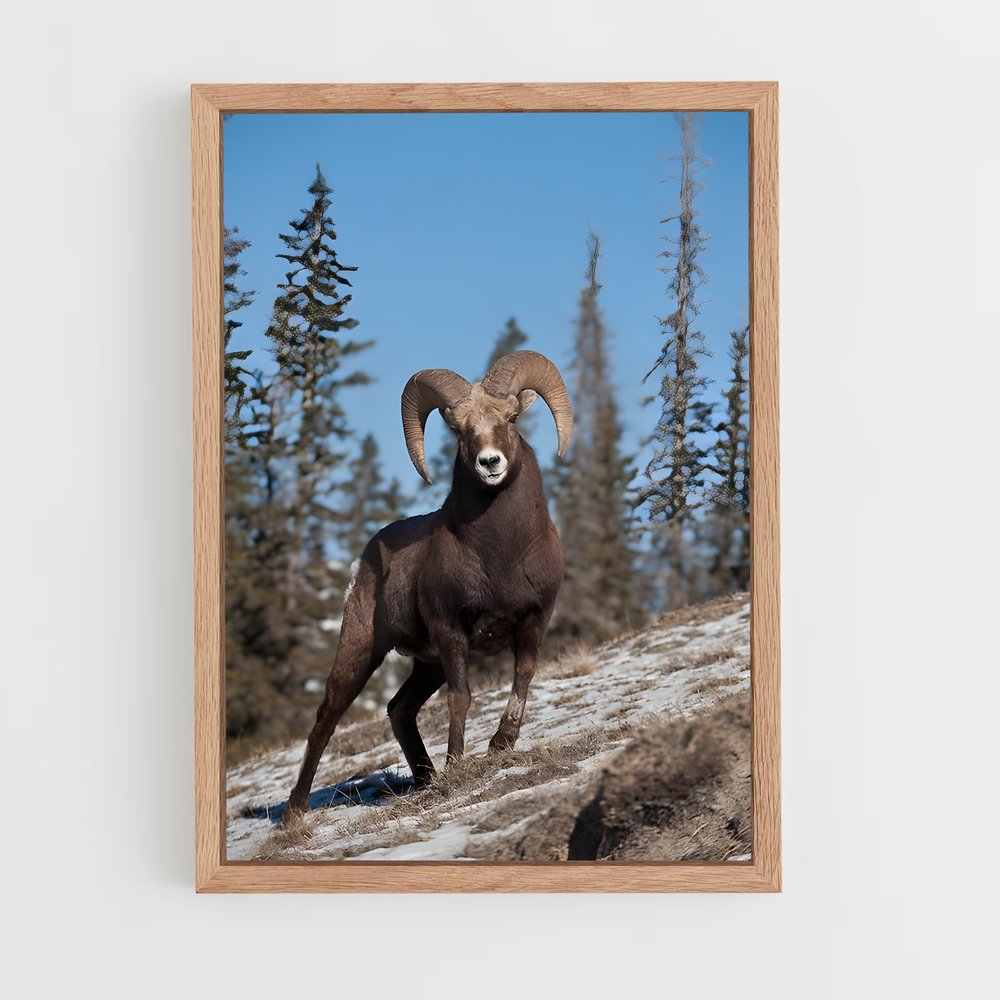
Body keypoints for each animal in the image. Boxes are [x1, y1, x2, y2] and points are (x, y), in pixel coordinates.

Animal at [285, 350, 573, 817]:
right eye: (458, 429)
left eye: (512, 418)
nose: (490, 464)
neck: (503, 556)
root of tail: (362, 562)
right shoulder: (451, 630)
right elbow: (462, 697)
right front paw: (457, 763)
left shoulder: (534, 620)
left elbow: (523, 677)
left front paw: (500, 745)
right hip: (362, 650)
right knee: (326, 720)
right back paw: (295, 812)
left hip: (426, 665)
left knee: (399, 708)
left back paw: (426, 778)